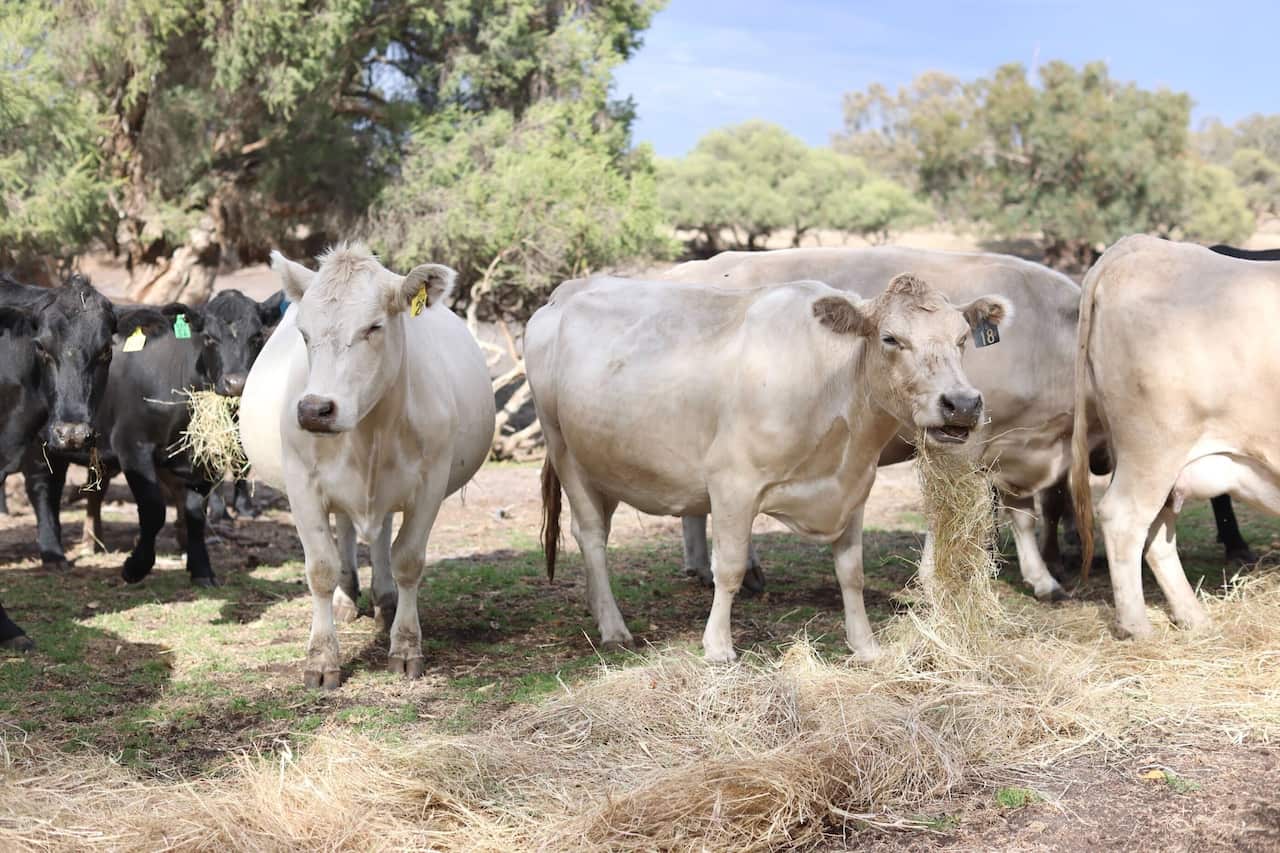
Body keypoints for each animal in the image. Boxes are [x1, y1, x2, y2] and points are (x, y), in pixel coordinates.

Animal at [27, 302, 252, 586]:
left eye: (257, 336)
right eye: (210, 338)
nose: (237, 383)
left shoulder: (197, 459)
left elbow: (195, 513)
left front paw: (202, 570)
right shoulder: (132, 446)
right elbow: (154, 510)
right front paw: (135, 567)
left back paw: (92, 543)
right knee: (42, 488)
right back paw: (53, 554)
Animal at [239, 245, 495, 689]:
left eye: (374, 327)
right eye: (304, 333)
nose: (314, 410)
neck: (368, 432)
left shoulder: (429, 484)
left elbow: (407, 560)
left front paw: (405, 647)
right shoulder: (303, 485)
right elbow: (321, 567)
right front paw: (322, 658)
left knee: (382, 536)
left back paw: (384, 599)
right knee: (344, 532)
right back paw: (347, 597)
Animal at [527, 272, 1012, 662]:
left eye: (962, 339)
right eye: (891, 338)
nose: (962, 404)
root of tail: (564, 293)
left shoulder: (855, 486)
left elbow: (851, 572)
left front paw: (865, 645)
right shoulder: (732, 481)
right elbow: (729, 567)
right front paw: (718, 646)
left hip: (604, 461)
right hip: (563, 447)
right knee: (591, 536)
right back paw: (613, 627)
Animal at [660, 247, 1095, 602]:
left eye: (963, 339)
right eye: (890, 339)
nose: (964, 403)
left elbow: (1022, 514)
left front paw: (1034, 576)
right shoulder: (974, 444)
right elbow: (952, 515)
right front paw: (935, 582)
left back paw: (702, 567)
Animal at [1070, 235, 1280, 638]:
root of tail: (1143, 246)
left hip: (1164, 466)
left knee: (1155, 534)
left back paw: (1193, 617)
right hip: (1152, 450)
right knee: (1123, 519)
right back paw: (1137, 627)